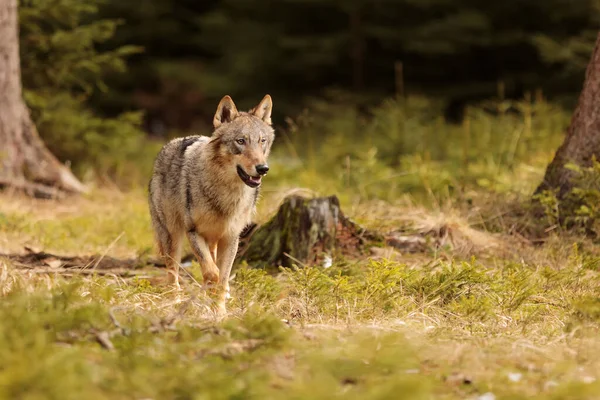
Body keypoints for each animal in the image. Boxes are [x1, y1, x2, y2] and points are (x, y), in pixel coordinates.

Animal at [149, 94, 276, 312]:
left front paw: (220, 312)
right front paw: (210, 300)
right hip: (172, 239)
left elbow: (222, 277)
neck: (227, 195)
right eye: (240, 141)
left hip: (212, 241)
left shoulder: (231, 238)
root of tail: (170, 144)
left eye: (262, 141)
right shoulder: (193, 232)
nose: (263, 168)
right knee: (172, 275)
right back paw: (175, 303)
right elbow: (213, 274)